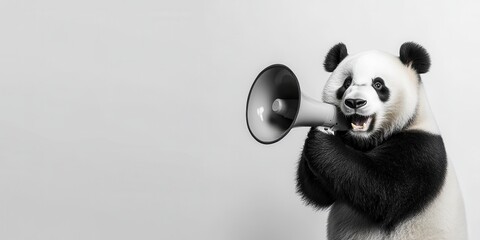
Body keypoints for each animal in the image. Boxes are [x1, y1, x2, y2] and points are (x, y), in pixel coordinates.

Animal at [298, 43, 466, 240]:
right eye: (346, 83)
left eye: (378, 84)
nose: (355, 102)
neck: (368, 140)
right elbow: (319, 193)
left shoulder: (422, 150)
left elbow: (384, 190)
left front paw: (322, 140)